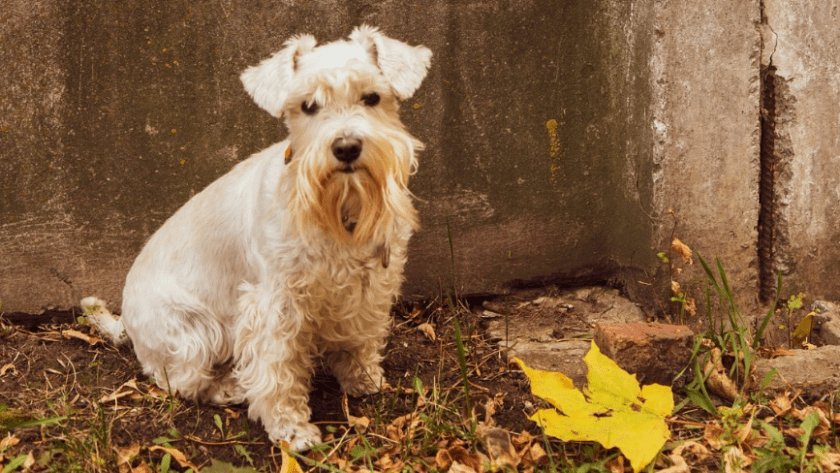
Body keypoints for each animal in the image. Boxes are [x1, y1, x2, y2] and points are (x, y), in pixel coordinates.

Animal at [82, 24, 430, 450]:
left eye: (372, 98)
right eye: (308, 106)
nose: (346, 147)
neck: (338, 211)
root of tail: (127, 324)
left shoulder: (369, 284)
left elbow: (359, 338)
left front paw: (362, 376)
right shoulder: (274, 305)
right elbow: (277, 370)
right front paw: (291, 429)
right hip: (194, 333)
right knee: (180, 381)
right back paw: (229, 387)